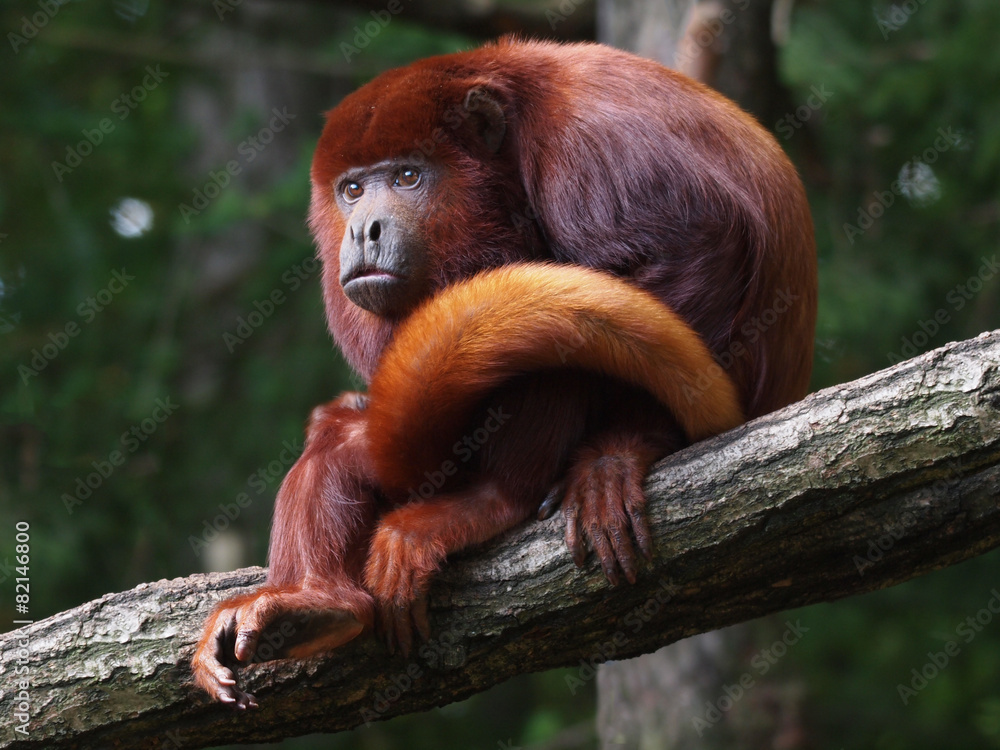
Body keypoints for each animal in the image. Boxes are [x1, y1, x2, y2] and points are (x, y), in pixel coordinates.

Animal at [191, 38, 817, 708]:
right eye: (352, 189)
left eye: (408, 176)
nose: (362, 229)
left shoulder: (588, 141)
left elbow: (692, 243)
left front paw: (620, 450)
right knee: (344, 441)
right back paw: (316, 603)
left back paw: (494, 499)